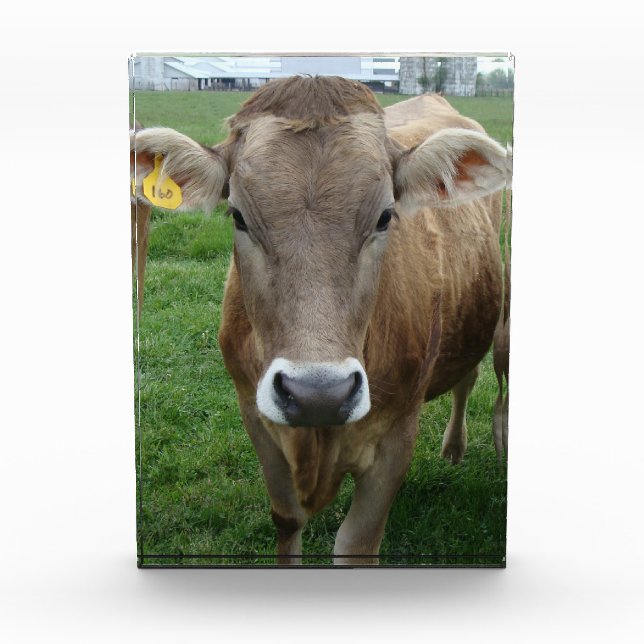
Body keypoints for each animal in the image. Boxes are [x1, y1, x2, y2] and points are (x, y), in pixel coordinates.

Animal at [130, 76, 511, 564]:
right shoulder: (255, 416)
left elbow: (356, 544)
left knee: (478, 380)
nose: (318, 395)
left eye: (385, 216)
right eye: (238, 216)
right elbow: (286, 520)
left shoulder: (397, 435)